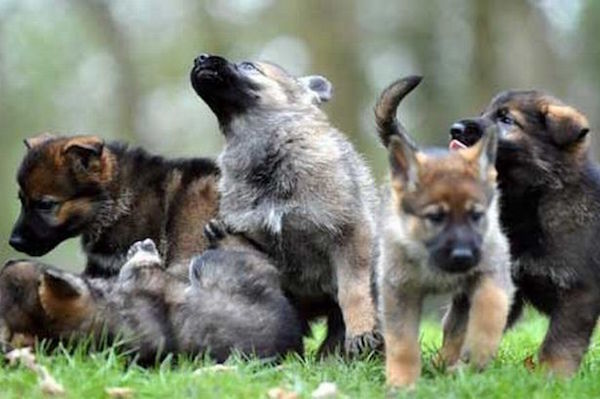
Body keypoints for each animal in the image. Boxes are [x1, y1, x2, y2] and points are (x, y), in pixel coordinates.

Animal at [376, 76, 510, 390]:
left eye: (476, 216)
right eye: (435, 217)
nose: (462, 256)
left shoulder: (491, 269)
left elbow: (491, 307)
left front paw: (480, 352)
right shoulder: (398, 291)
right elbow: (402, 342)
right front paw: (402, 383)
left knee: (455, 327)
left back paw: (449, 363)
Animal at [450, 91, 600, 378]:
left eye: (506, 119)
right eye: (484, 113)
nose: (455, 128)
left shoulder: (579, 291)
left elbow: (560, 344)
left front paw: (553, 378)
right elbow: (461, 327)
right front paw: (445, 367)